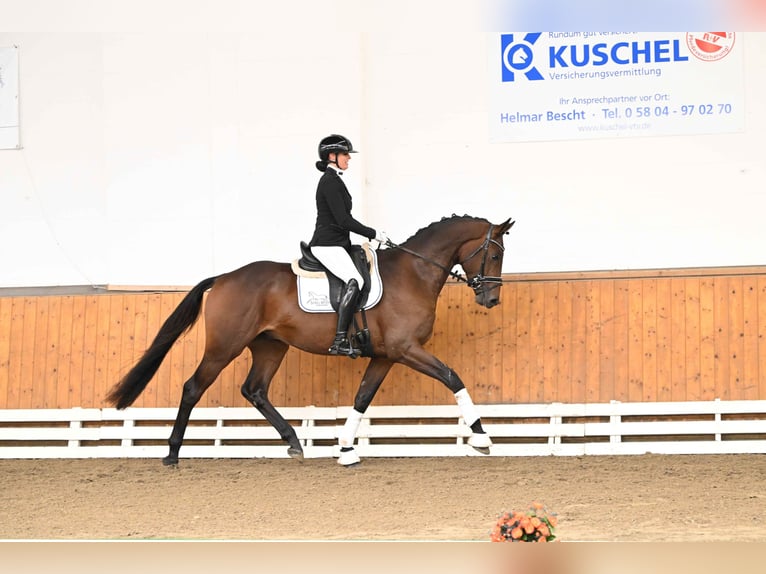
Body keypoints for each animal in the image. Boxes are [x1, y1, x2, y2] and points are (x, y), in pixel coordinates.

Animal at [106, 216, 516, 468]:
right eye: (495, 254)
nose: (492, 299)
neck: (413, 272)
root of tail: (223, 278)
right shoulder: (406, 350)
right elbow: (452, 377)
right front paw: (481, 438)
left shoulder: (386, 356)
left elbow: (362, 398)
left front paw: (346, 449)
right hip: (225, 346)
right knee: (193, 387)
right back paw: (172, 454)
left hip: (270, 346)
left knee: (254, 389)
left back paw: (294, 442)